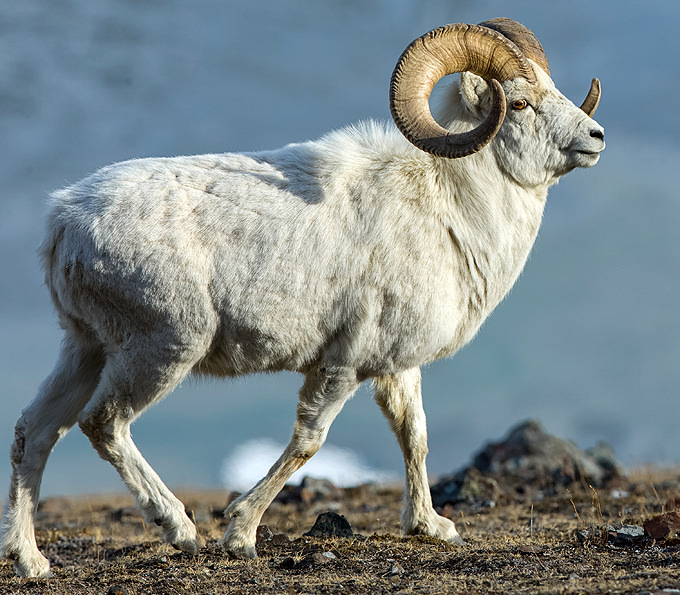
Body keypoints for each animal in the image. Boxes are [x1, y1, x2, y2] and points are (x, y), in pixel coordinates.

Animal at [1, 18, 604, 577]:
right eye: (519, 102)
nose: (596, 137)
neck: (449, 206)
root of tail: (64, 221)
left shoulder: (396, 367)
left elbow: (415, 435)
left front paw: (432, 527)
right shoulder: (341, 365)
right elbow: (309, 443)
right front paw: (240, 535)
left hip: (86, 349)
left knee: (35, 431)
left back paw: (32, 561)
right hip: (162, 350)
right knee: (104, 424)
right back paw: (181, 530)